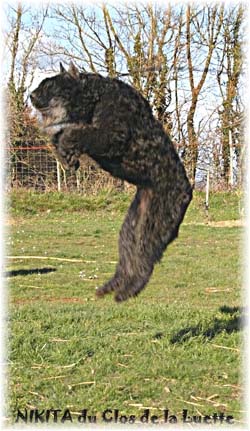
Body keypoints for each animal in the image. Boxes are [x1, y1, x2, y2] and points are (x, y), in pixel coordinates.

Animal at [30, 62, 192, 302]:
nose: (31, 96)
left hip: (152, 224)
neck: (98, 96)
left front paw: (68, 152)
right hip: (130, 228)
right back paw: (111, 286)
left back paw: (127, 291)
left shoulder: (112, 135)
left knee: (145, 262)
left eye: (51, 85)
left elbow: (72, 132)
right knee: (128, 261)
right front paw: (67, 157)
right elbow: (60, 134)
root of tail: (187, 191)